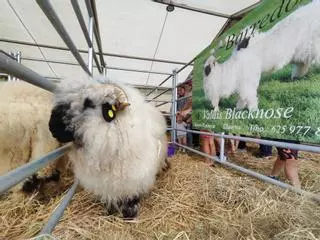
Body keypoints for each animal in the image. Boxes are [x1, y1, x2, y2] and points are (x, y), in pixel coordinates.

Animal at [48, 77, 169, 219]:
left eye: (88, 103)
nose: (51, 127)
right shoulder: (105, 183)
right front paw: (110, 211)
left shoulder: (135, 179)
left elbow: (132, 197)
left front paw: (129, 214)